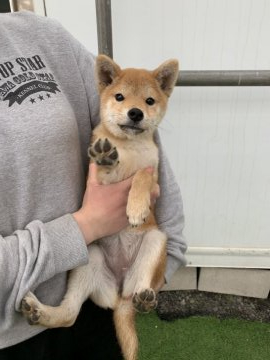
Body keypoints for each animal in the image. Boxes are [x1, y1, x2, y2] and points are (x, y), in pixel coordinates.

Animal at [21, 54, 179, 360]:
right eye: (119, 97)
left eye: (149, 101)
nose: (135, 113)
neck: (128, 148)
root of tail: (119, 296)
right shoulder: (95, 180)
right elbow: (109, 169)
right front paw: (107, 159)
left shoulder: (153, 176)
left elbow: (141, 176)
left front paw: (137, 207)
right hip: (89, 258)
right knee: (70, 313)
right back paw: (39, 311)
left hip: (155, 241)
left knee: (137, 292)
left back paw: (144, 300)